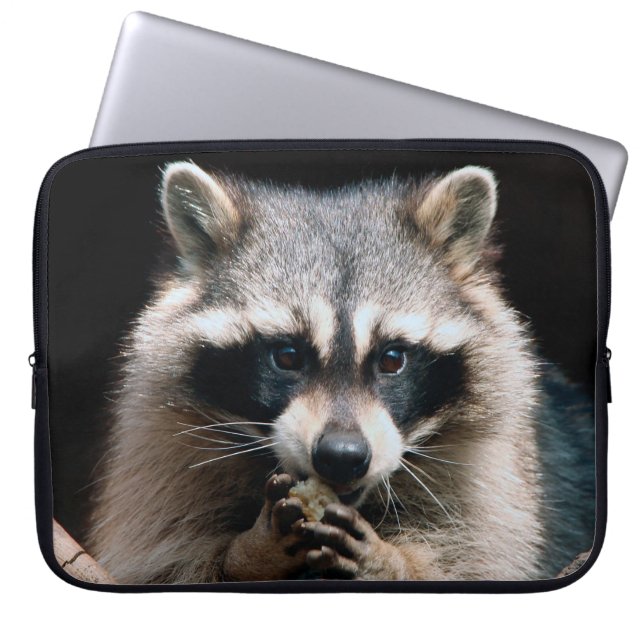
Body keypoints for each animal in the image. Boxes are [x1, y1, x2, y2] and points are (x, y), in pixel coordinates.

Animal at [87, 161, 595, 584]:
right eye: (287, 356)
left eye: (392, 359)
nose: (342, 456)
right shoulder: (164, 452)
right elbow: (162, 560)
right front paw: (249, 554)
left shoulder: (496, 477)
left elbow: (477, 558)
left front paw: (392, 563)